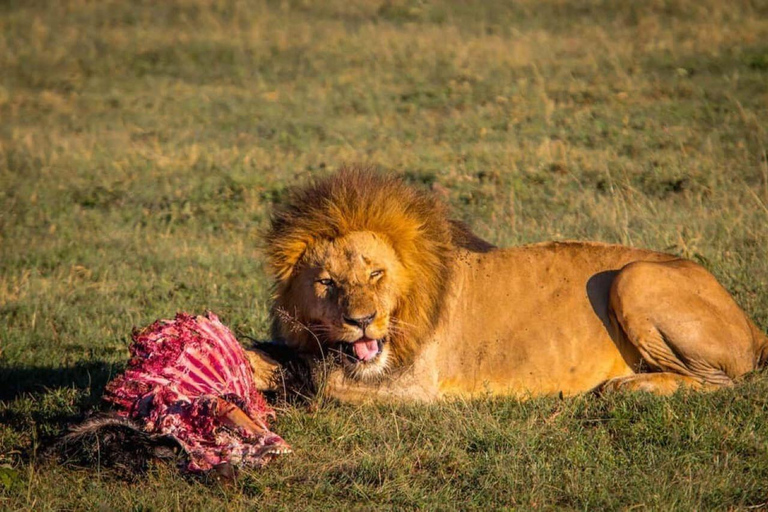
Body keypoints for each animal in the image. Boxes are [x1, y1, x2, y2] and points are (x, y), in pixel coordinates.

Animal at [248, 166, 768, 402]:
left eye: (376, 273)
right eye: (327, 282)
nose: (361, 321)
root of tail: (751, 324)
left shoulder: (415, 386)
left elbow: (320, 379)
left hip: (633, 277)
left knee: (720, 383)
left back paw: (627, 386)